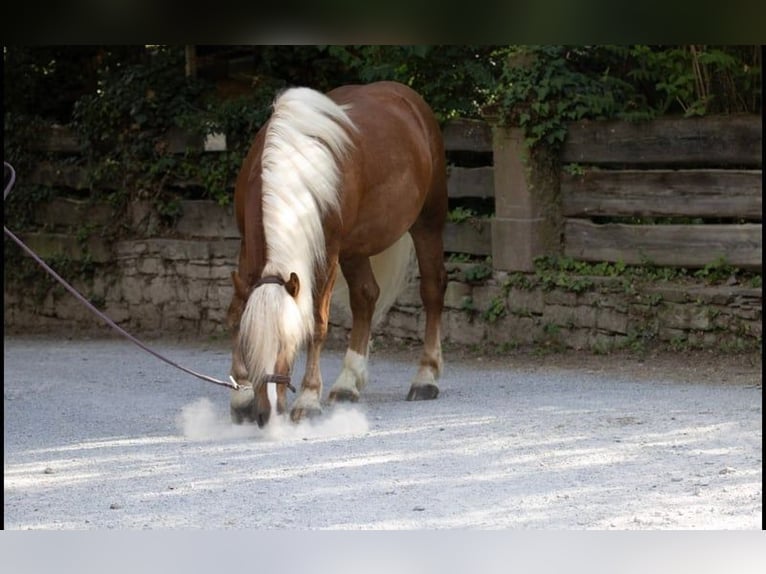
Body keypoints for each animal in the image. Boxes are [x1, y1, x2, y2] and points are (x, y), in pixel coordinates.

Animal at [226, 80, 447, 427]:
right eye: (249, 345)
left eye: (289, 344)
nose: (267, 414)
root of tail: (407, 98)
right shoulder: (247, 246)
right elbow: (237, 310)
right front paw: (241, 397)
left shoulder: (327, 253)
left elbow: (318, 323)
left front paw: (308, 398)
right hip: (354, 247)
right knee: (366, 297)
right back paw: (347, 383)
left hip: (428, 222)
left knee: (432, 290)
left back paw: (425, 377)